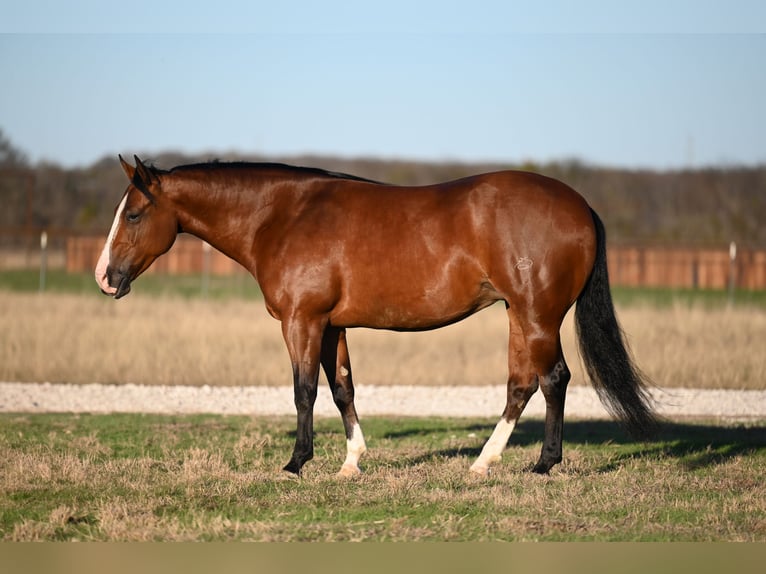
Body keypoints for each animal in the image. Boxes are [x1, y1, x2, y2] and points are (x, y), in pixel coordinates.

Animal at [96, 155, 656, 480]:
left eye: (134, 214)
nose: (105, 277)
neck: (284, 216)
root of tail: (580, 206)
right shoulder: (332, 325)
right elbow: (342, 388)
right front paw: (351, 462)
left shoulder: (301, 322)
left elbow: (304, 391)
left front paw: (296, 463)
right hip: (518, 314)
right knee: (521, 385)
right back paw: (483, 463)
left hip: (539, 316)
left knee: (554, 379)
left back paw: (543, 464)